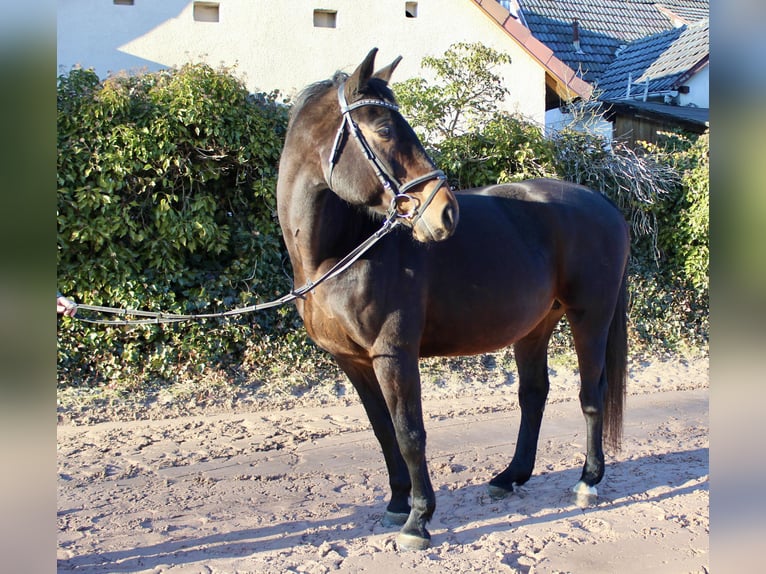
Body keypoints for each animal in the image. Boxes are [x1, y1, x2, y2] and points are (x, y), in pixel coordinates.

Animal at [275, 48, 629, 550]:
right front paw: (396, 504)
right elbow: (383, 433)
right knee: (533, 394)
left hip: (589, 318)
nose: (445, 212)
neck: (340, 252)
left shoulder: (395, 354)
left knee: (590, 394)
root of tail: (605, 205)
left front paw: (418, 519)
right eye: (384, 129)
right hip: (535, 326)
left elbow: (410, 433)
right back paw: (510, 476)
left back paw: (588, 480)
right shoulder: (354, 362)